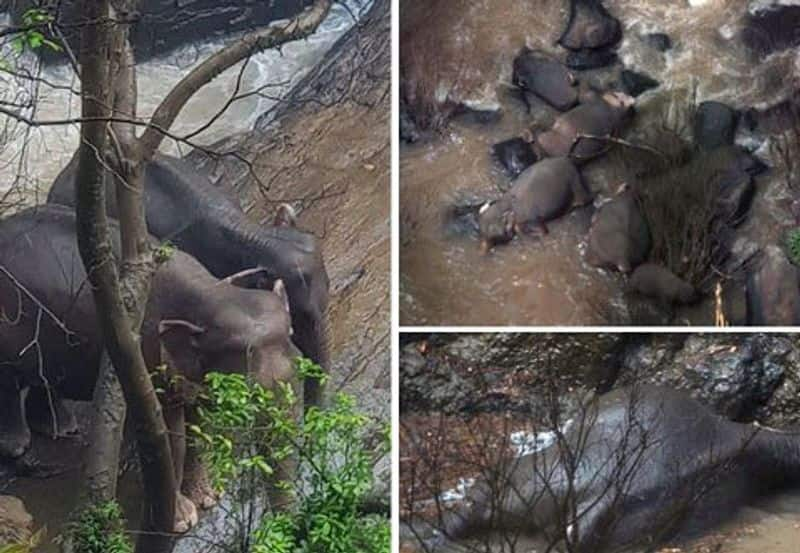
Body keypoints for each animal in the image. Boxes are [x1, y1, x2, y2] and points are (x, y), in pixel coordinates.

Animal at [0, 205, 298, 532]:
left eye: (292, 336)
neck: (210, 292)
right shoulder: (146, 358)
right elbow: (171, 435)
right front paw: (181, 521)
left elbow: (198, 425)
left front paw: (208, 499)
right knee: (8, 381)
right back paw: (17, 446)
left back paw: (61, 428)